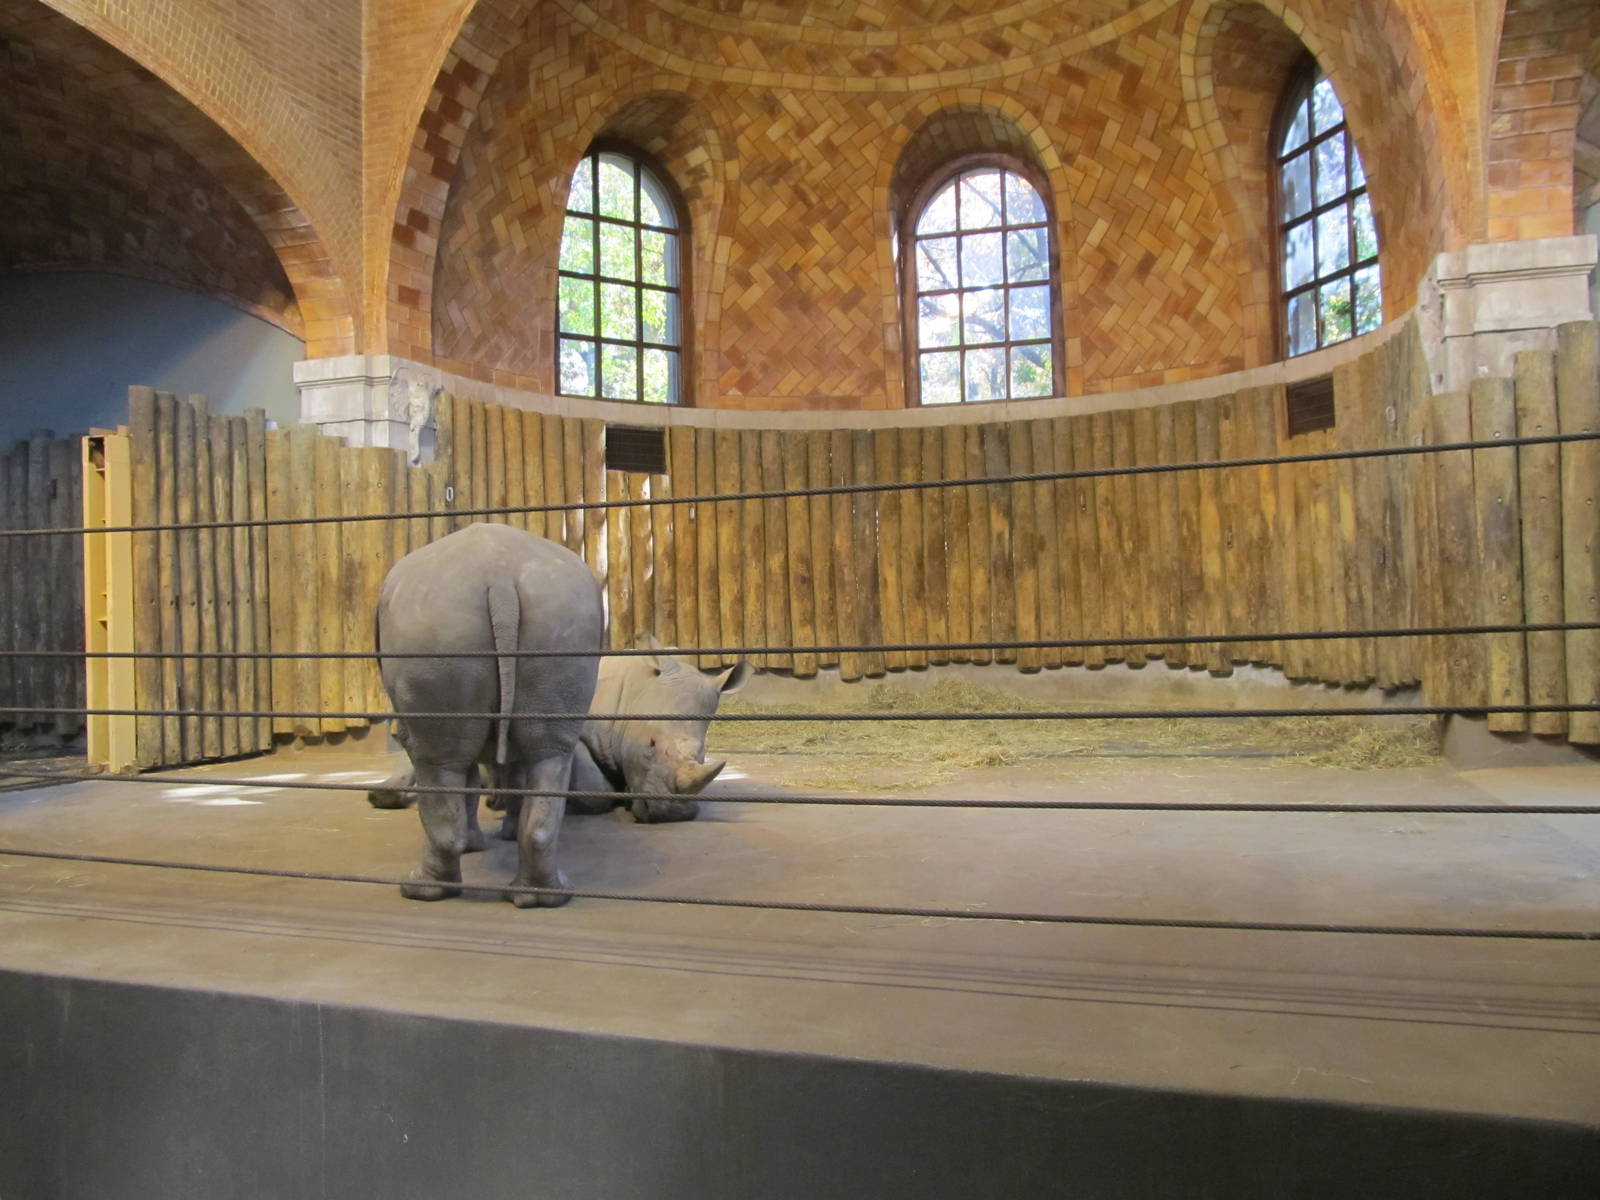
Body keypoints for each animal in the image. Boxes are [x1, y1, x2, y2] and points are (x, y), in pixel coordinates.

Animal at [374, 522, 602, 906]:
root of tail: (499, 577)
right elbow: (511, 771)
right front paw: (497, 836)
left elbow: (471, 778)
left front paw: (480, 842)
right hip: (557, 620)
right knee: (550, 753)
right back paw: (543, 896)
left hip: (436, 627)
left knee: (437, 762)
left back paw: (419, 889)